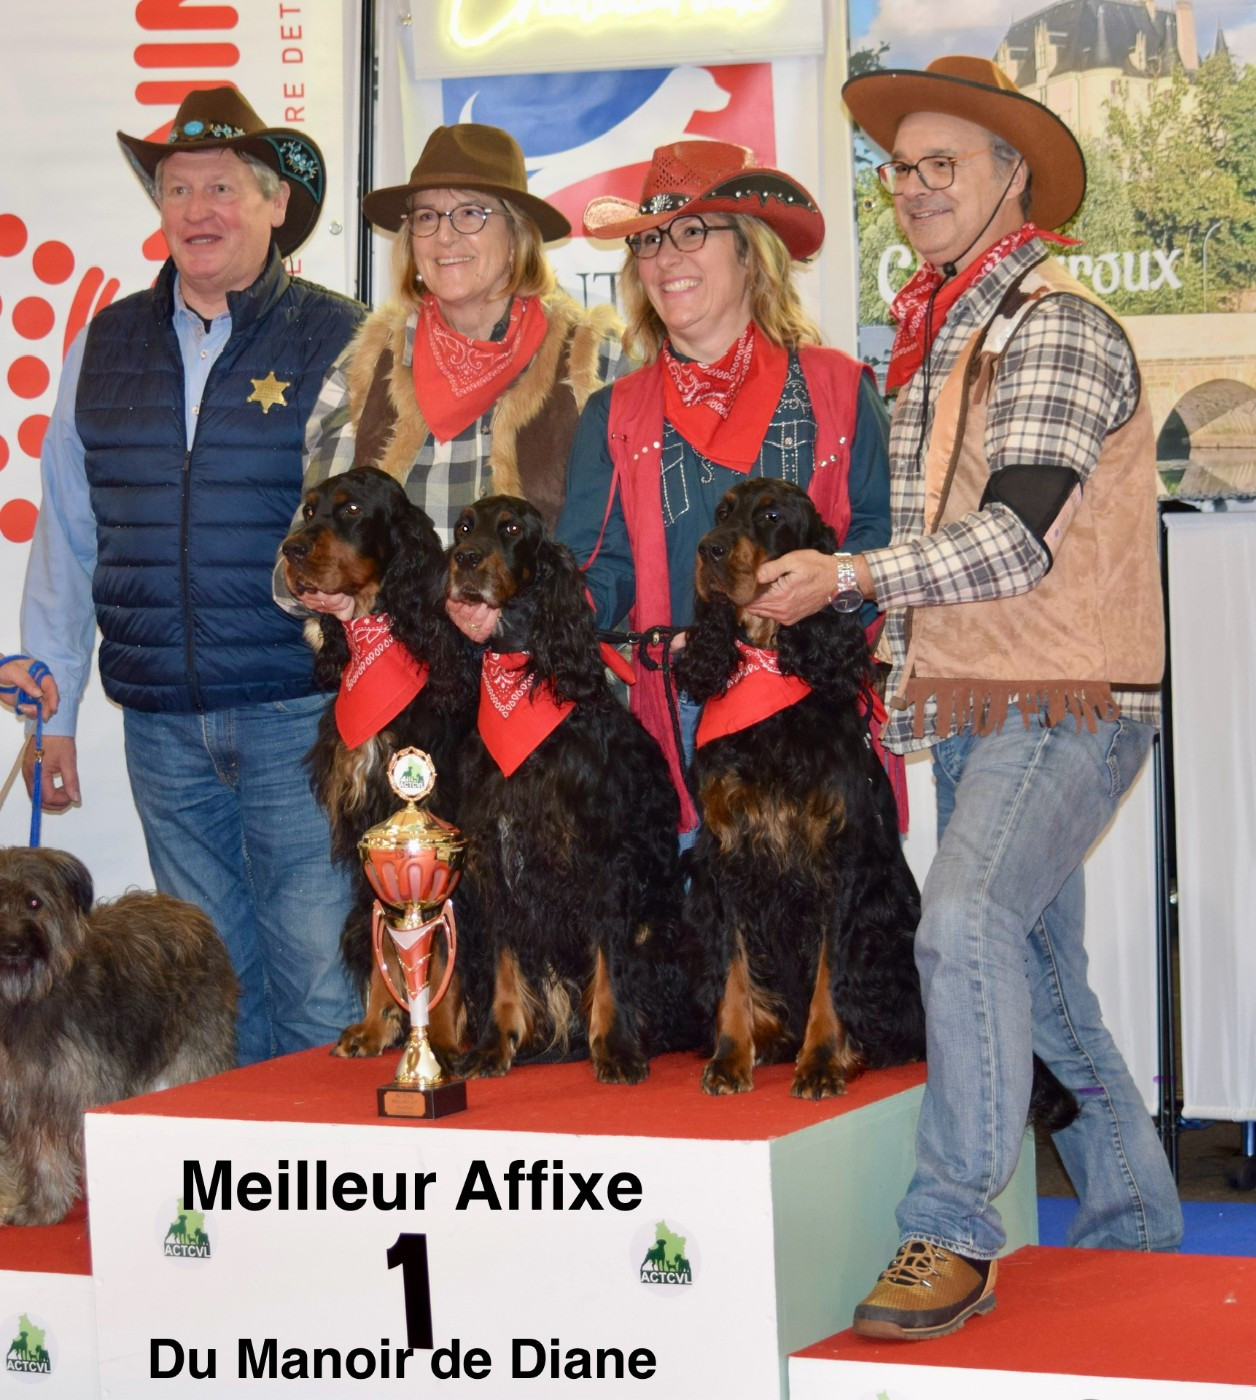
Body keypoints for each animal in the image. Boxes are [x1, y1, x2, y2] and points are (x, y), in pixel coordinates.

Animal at [0, 847, 237, 1226]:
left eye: (34, 902)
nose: (12, 946)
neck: (32, 995)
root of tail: (182, 907)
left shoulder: (87, 1089)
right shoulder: (27, 1097)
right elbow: (43, 1158)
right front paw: (44, 1208)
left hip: (197, 1052)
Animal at [280, 466, 478, 1062]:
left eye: (350, 510)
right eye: (310, 508)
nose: (291, 549)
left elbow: (443, 947)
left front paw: (440, 1038)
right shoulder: (373, 832)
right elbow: (385, 939)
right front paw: (374, 1025)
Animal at [447, 495, 687, 1084]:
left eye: (512, 528)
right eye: (463, 527)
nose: (465, 559)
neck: (521, 680)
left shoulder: (603, 861)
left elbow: (609, 966)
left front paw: (617, 1049)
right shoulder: (497, 859)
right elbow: (505, 966)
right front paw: (493, 1046)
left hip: (659, 927)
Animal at [675, 479, 1080, 1128]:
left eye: (771, 515)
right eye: (722, 511)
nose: (708, 549)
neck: (771, 669)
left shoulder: (842, 864)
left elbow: (830, 976)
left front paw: (821, 1064)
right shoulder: (725, 859)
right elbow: (733, 969)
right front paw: (731, 1058)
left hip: (895, 933)